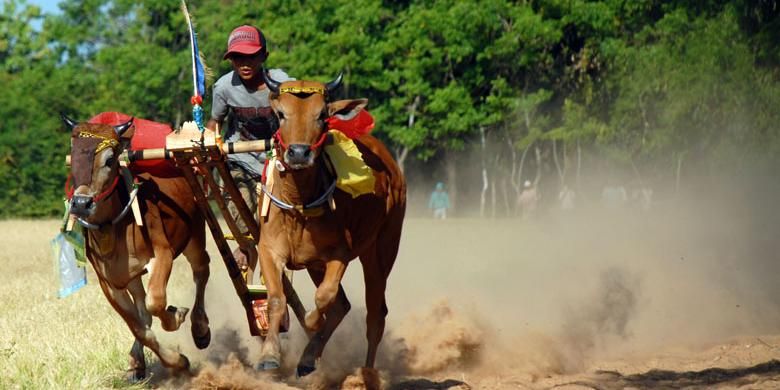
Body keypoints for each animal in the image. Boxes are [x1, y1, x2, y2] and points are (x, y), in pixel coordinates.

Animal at [63, 115, 210, 380]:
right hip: (131, 276)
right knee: (143, 310)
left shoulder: (163, 254)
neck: (113, 226)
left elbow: (156, 301)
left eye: (109, 160)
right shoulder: (110, 282)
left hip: (195, 235)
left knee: (201, 271)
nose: (81, 203)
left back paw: (200, 328)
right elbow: (139, 326)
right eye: (74, 158)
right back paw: (136, 361)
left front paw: (176, 316)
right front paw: (177, 362)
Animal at [254, 71, 406, 380]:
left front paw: (311, 320)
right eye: (281, 114)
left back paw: (366, 373)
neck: (299, 205)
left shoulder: (339, 254)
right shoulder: (269, 250)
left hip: (381, 249)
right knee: (345, 305)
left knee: (375, 313)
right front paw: (269, 356)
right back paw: (307, 358)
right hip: (317, 264)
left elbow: (324, 298)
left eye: (322, 115)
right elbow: (276, 299)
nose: (298, 153)